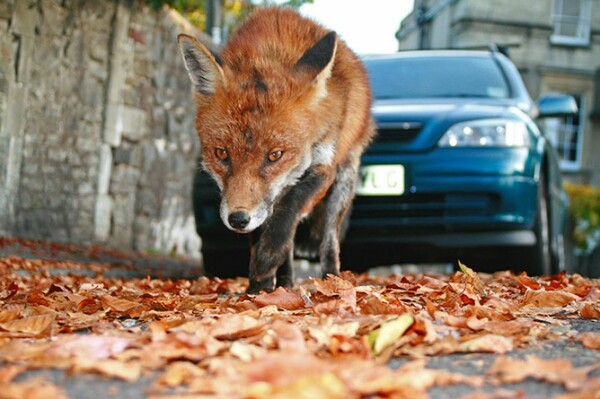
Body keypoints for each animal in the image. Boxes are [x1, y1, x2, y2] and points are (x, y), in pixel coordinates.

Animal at [179, 6, 376, 294]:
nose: (238, 219)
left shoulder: (323, 167)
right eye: (222, 154)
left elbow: (288, 211)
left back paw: (332, 279)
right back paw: (285, 283)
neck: (270, 53)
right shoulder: (257, 198)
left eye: (275, 155)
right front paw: (258, 287)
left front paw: (268, 257)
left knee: (329, 240)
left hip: (344, 180)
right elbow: (264, 231)